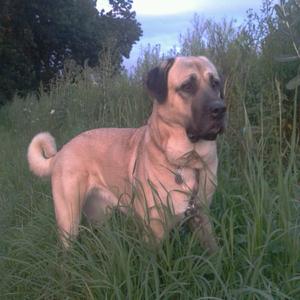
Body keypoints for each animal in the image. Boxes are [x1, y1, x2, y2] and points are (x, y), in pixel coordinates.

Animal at [27, 55, 225, 251]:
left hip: (99, 213)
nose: (220, 109)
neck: (188, 161)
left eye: (215, 83)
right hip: (69, 219)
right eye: (187, 86)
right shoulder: (154, 230)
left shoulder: (202, 218)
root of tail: (60, 152)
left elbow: (214, 251)